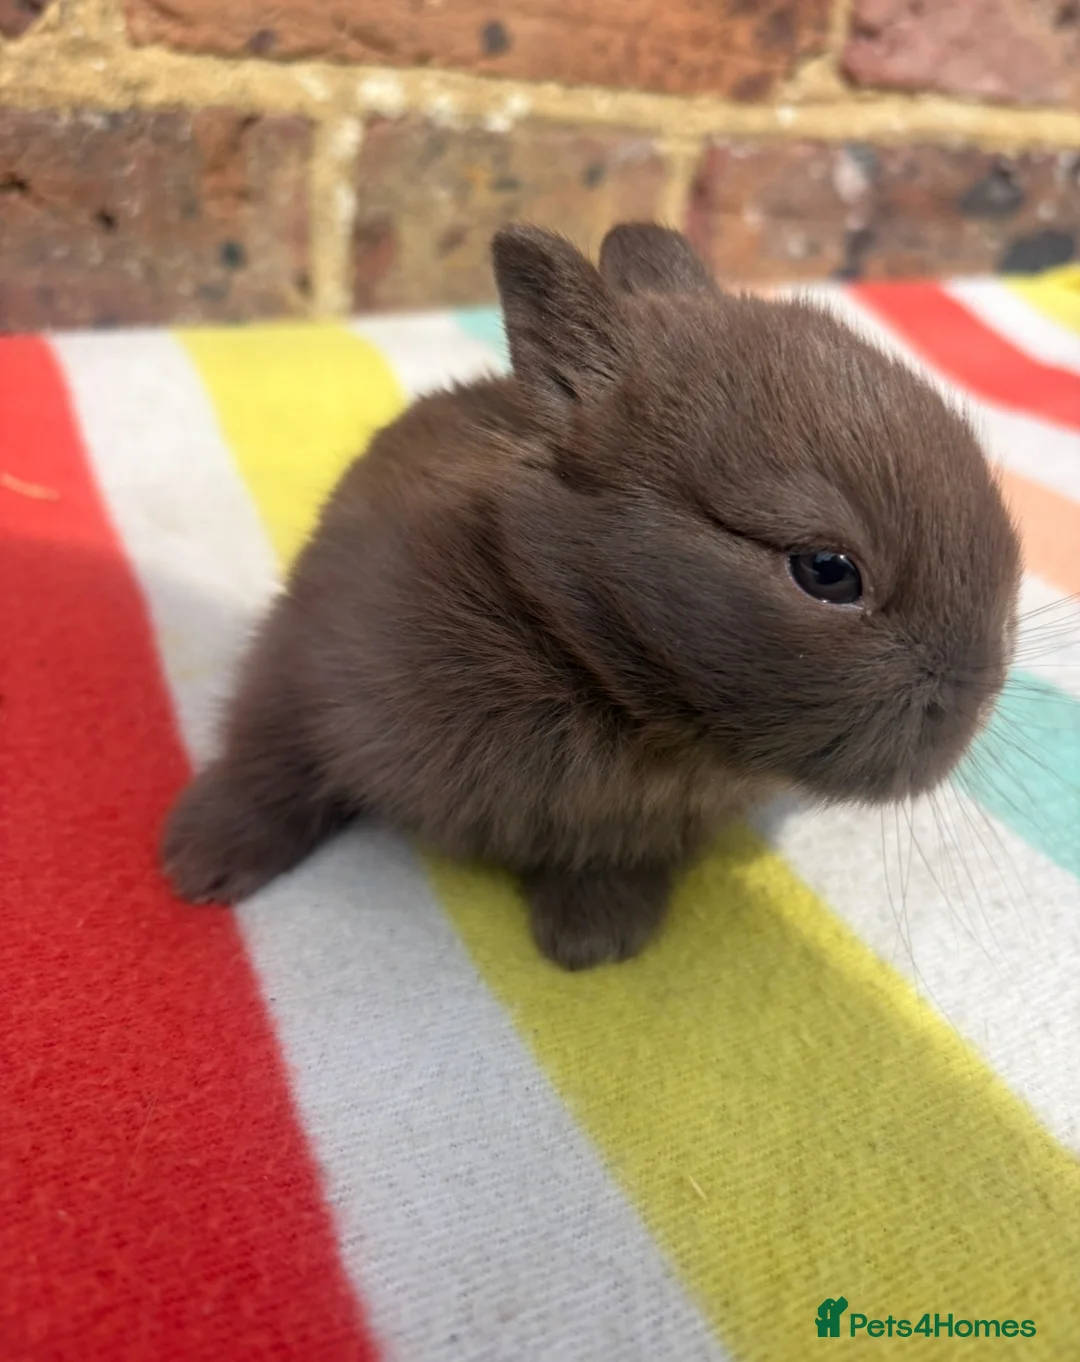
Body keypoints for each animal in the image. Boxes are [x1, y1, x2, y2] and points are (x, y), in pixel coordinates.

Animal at [162, 222, 1022, 970]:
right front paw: (198, 862)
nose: (974, 704)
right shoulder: (305, 662)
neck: (576, 645)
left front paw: (593, 941)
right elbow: (271, 758)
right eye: (826, 571)